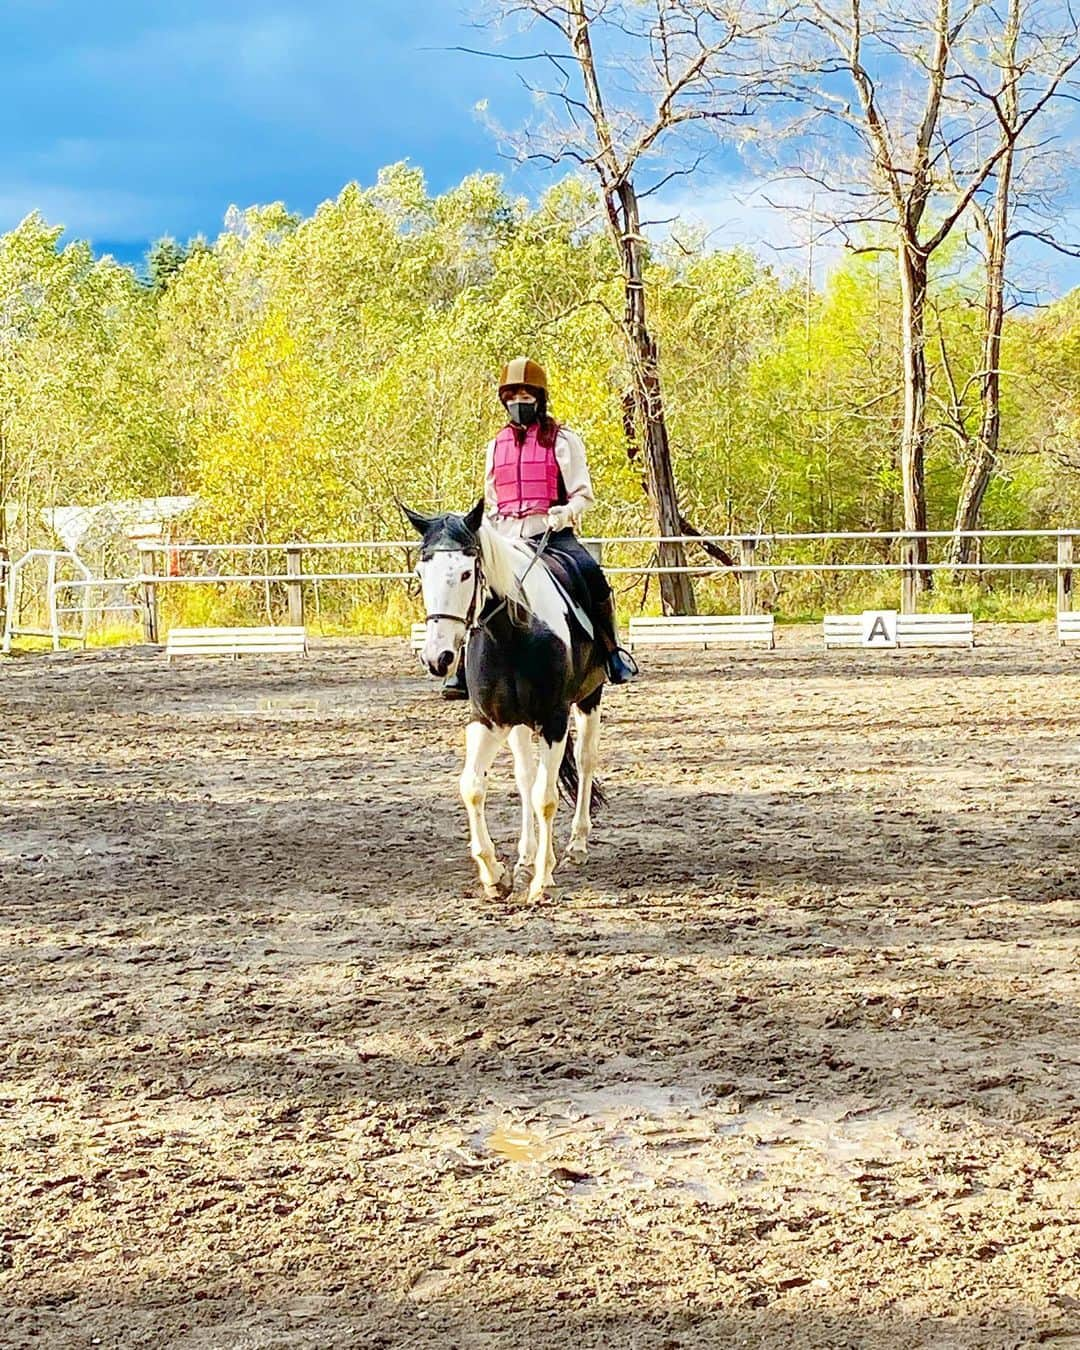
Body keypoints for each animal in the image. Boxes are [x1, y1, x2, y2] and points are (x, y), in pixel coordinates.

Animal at [405, 502, 607, 901]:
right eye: (421, 572)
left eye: (467, 572)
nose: (437, 658)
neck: (512, 634)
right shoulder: (488, 721)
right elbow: (472, 787)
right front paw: (494, 874)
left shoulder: (555, 720)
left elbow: (546, 797)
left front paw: (542, 881)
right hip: (518, 724)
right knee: (525, 776)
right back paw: (525, 858)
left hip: (589, 699)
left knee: (584, 760)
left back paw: (576, 845)